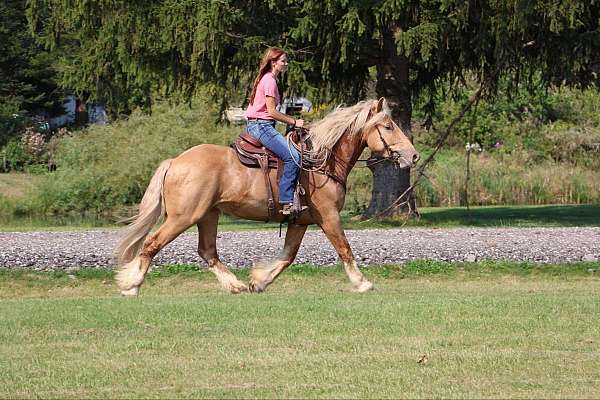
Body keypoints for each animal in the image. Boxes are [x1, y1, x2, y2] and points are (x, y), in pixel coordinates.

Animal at [115, 98, 420, 296]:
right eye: (389, 126)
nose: (414, 155)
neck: (321, 162)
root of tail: (175, 161)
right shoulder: (329, 216)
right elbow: (344, 248)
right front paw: (362, 282)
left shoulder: (300, 221)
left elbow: (287, 256)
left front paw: (259, 281)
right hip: (183, 217)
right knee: (152, 243)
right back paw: (132, 285)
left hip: (208, 215)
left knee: (208, 251)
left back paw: (236, 286)